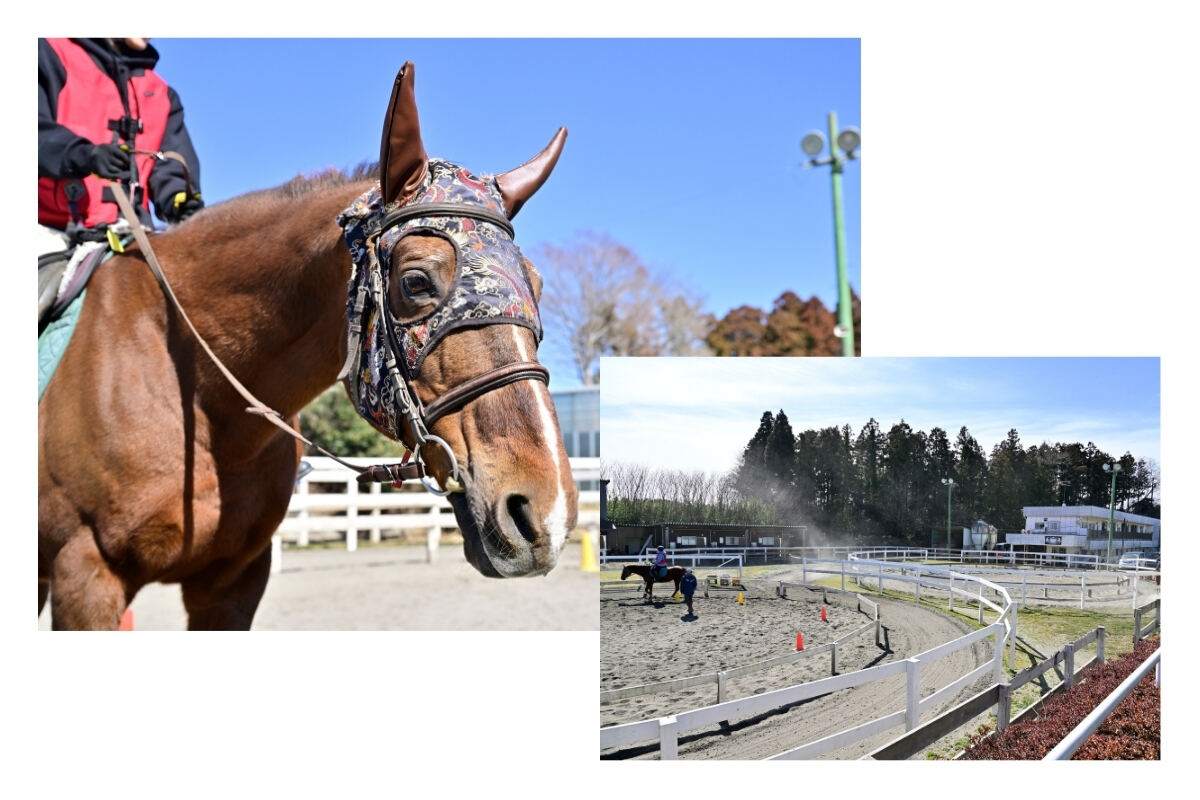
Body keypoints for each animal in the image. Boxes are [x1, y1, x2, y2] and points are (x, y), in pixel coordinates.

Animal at [38, 63, 578, 629]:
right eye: (415, 282)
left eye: (537, 285)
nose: (546, 511)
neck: (195, 395)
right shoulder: (87, 578)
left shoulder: (232, 584)